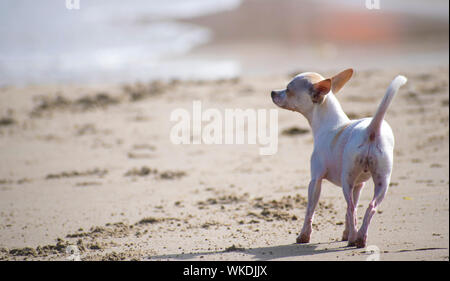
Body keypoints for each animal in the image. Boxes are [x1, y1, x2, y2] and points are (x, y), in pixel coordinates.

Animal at [270, 69, 408, 246]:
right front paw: (346, 233)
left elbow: (310, 210)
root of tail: (371, 130)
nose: (273, 92)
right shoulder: (358, 185)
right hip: (381, 181)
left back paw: (353, 239)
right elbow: (351, 214)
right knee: (368, 207)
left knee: (351, 208)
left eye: (288, 90)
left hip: (346, 180)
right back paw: (360, 238)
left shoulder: (315, 180)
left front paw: (303, 236)